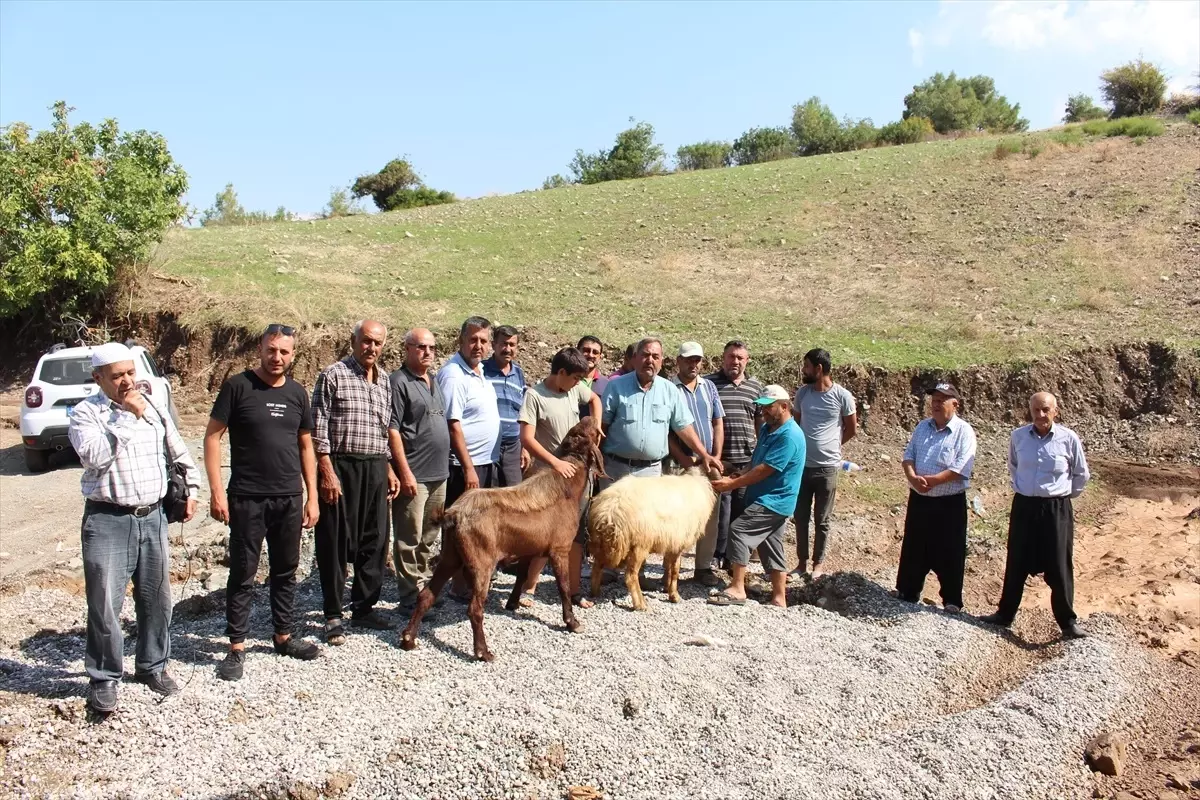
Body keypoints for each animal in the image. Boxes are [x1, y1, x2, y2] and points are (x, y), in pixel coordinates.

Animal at [403, 417, 609, 662]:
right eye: (588, 434)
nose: (590, 418)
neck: (567, 486)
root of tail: (453, 515)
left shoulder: (529, 548)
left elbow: (522, 576)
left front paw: (512, 603)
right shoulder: (559, 548)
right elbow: (564, 587)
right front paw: (572, 622)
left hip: (450, 556)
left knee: (426, 595)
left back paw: (408, 639)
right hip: (481, 562)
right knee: (474, 608)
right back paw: (483, 651)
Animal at [585, 470, 715, 614]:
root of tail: (608, 513)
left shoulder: (670, 541)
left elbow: (668, 567)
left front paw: (667, 588)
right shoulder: (678, 543)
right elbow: (675, 570)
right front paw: (675, 596)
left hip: (600, 545)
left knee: (597, 568)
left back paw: (595, 592)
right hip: (639, 545)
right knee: (630, 576)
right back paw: (641, 605)